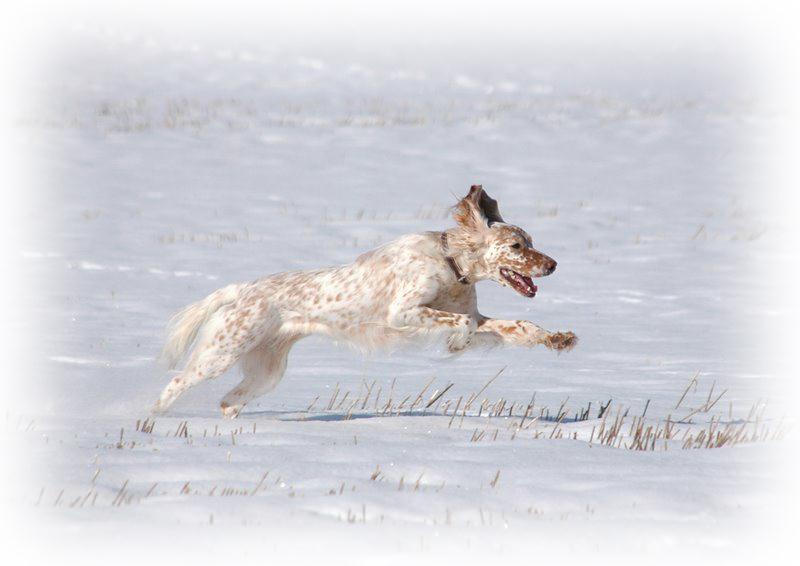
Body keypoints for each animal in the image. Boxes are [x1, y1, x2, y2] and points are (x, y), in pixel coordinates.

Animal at [155, 185, 576, 418]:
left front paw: (557, 338)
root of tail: (241, 288)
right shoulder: (403, 313)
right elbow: (463, 324)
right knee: (175, 382)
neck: (449, 265)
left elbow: (517, 325)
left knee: (228, 401)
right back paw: (152, 420)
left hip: (267, 371)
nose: (554, 265)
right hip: (221, 353)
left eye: (531, 242)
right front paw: (457, 344)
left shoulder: (475, 313)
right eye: (516, 246)